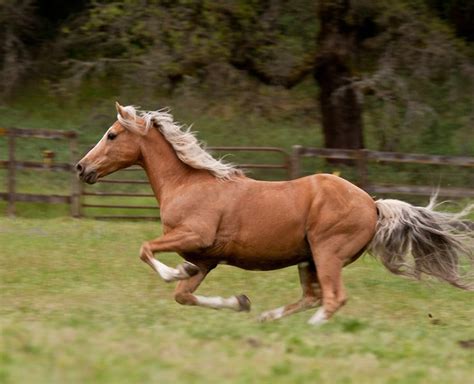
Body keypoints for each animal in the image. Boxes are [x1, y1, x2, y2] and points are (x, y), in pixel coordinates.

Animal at [76, 102, 472, 324]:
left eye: (112, 135)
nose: (82, 168)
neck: (187, 182)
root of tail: (372, 205)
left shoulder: (194, 236)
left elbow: (146, 250)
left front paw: (174, 272)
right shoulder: (206, 259)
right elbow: (184, 296)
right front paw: (240, 302)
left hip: (327, 253)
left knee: (333, 298)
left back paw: (311, 330)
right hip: (307, 258)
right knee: (314, 296)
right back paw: (268, 317)